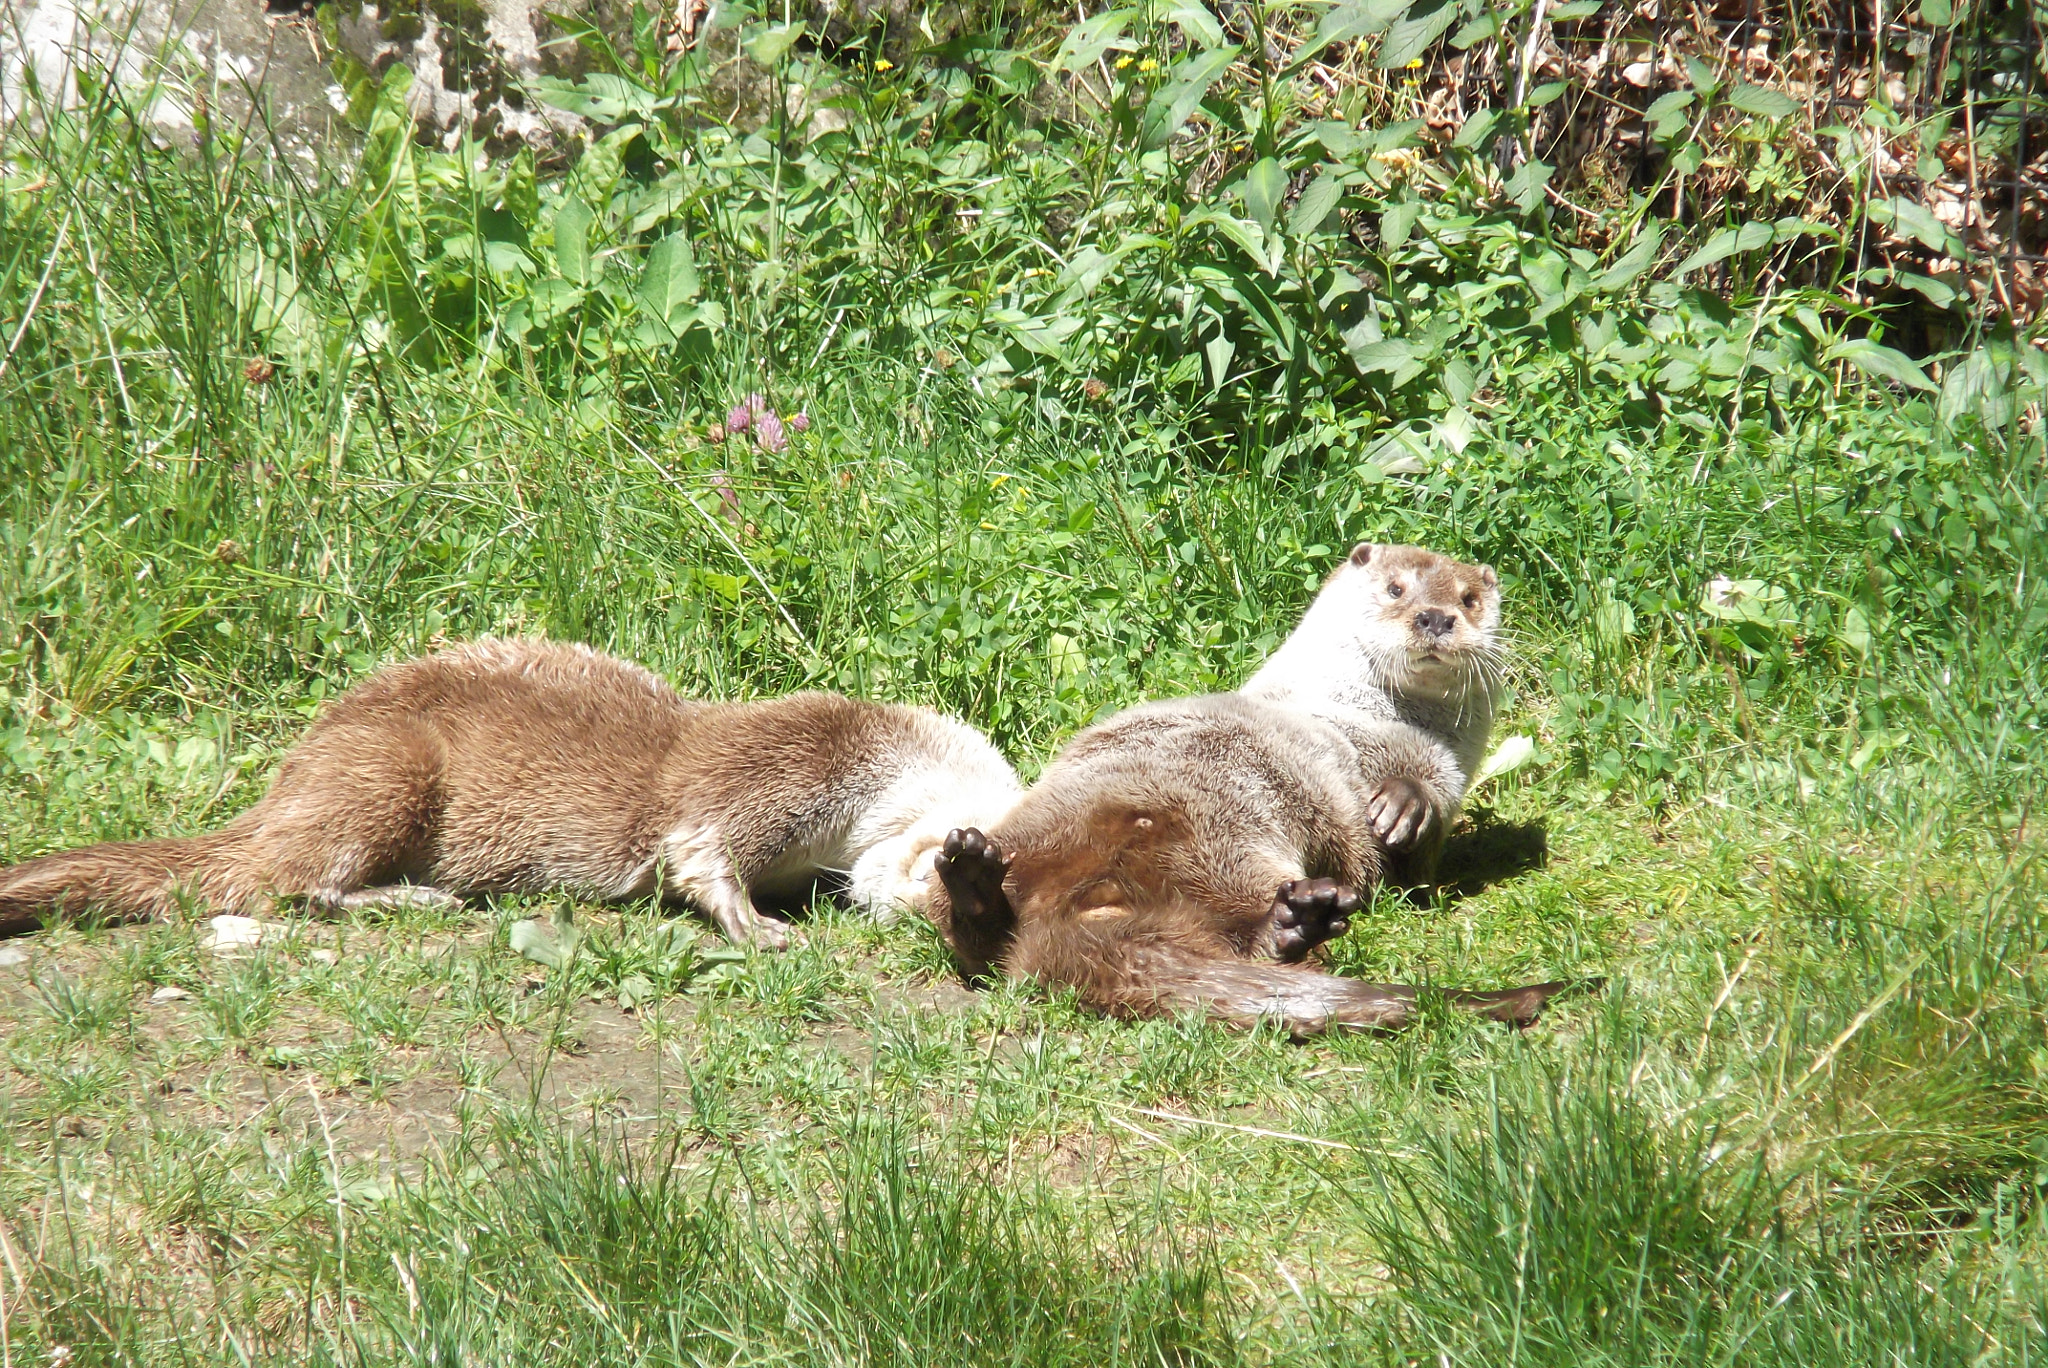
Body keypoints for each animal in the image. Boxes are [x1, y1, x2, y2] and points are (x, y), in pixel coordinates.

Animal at [0, 638, 1021, 946]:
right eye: (958, 861)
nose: (957, 878)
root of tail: (294, 770)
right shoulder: (782, 761)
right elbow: (698, 844)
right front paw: (753, 924)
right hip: (391, 767)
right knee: (276, 880)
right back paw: (416, 898)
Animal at [927, 543, 1569, 1035]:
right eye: (1395, 588)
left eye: (1468, 599)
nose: (1436, 617)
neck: (1367, 718)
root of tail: (1082, 912)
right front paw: (1395, 803)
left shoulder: (1445, 780)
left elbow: (1418, 868)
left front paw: (1403, 803)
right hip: (1126, 833)